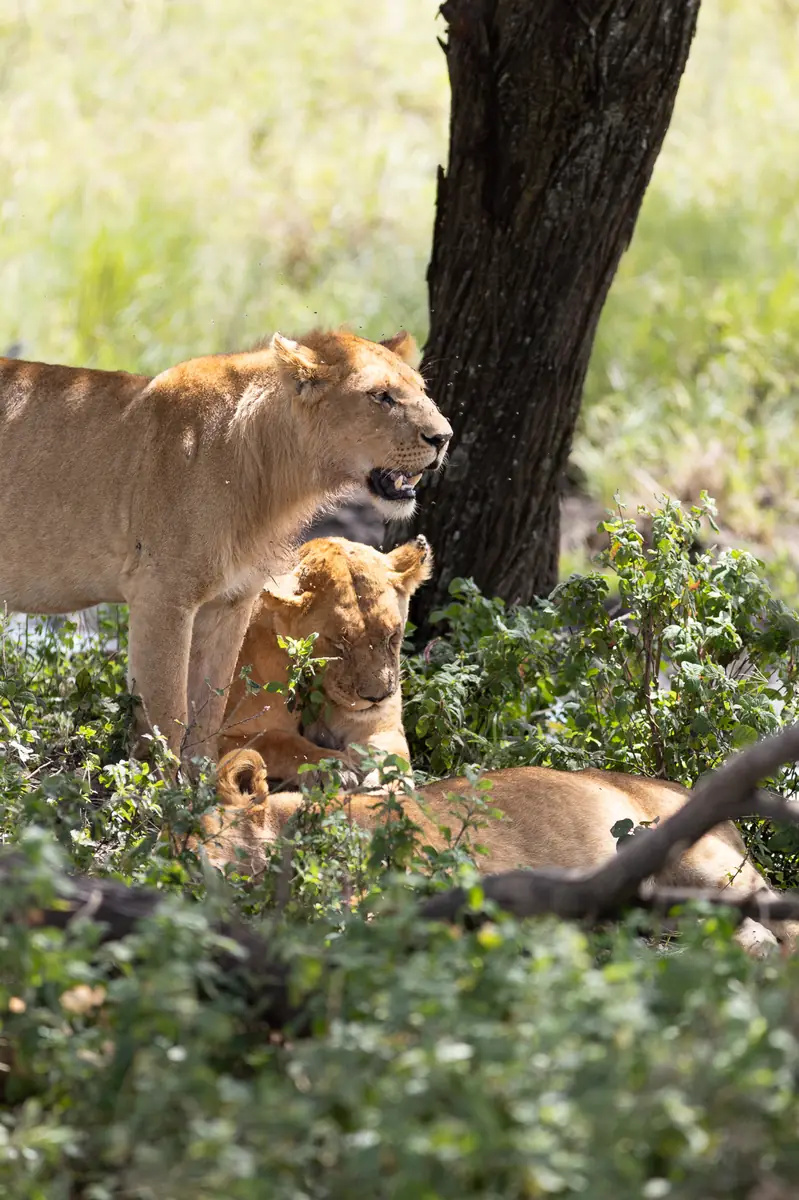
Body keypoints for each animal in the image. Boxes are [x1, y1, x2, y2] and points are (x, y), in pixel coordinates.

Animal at [0, 330, 451, 761]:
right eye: (382, 396)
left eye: (422, 389)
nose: (444, 437)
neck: (272, 475)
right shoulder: (161, 597)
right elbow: (169, 716)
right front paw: (164, 788)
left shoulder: (231, 602)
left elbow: (208, 717)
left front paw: (205, 786)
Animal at [219, 534, 432, 787]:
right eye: (339, 644)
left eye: (392, 636)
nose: (377, 698)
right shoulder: (219, 738)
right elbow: (278, 742)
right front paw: (333, 766)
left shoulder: (382, 724)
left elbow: (394, 752)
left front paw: (390, 778)